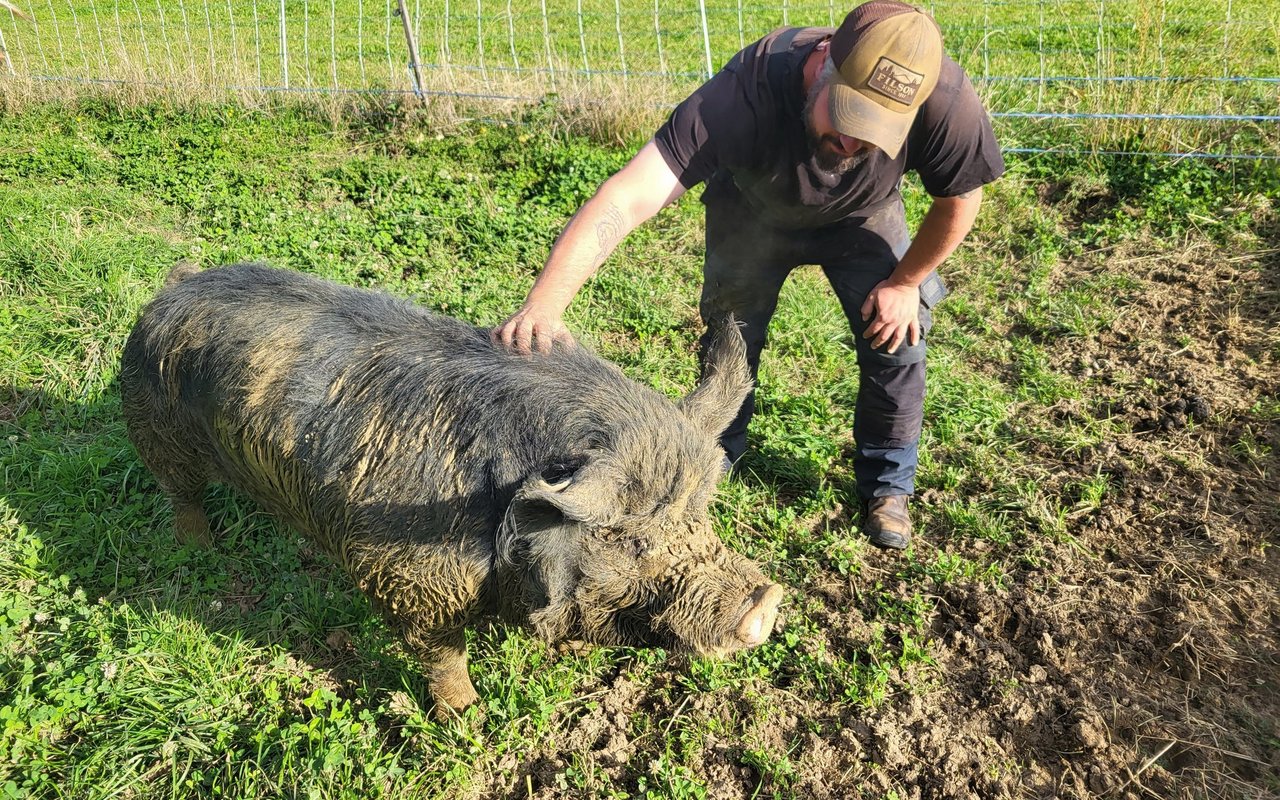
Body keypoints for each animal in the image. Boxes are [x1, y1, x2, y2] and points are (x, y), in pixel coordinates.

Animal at [120, 263, 783, 711]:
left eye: (701, 517)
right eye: (633, 539)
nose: (766, 600)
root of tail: (172, 288)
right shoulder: (409, 579)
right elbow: (442, 655)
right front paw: (466, 718)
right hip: (153, 427)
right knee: (181, 493)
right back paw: (197, 549)